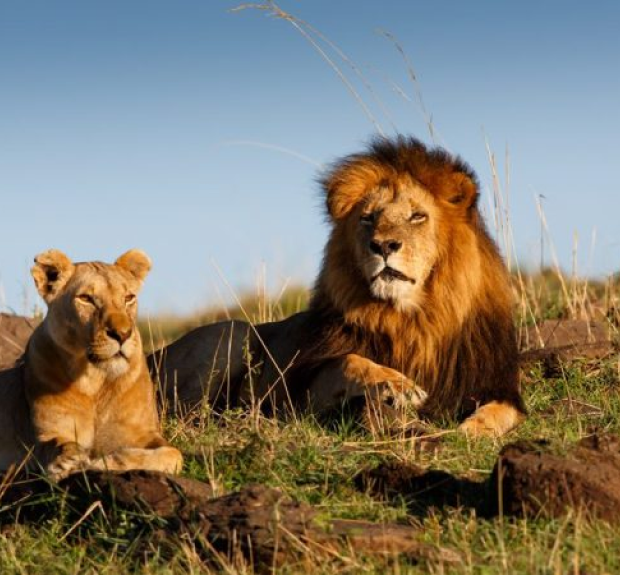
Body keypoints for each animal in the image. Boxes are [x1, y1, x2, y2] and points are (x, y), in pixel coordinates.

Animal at [0, 250, 183, 480]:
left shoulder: (144, 433)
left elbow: (173, 454)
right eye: (86, 299)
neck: (97, 380)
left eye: (128, 298)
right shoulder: (47, 434)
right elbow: (54, 445)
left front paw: (108, 461)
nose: (123, 334)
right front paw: (67, 462)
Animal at [150, 137, 524, 438]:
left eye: (417, 216)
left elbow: (503, 412)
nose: (383, 245)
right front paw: (398, 384)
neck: (412, 319)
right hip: (232, 332)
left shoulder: (495, 384)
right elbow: (350, 360)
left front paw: (472, 430)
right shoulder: (304, 392)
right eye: (368, 217)